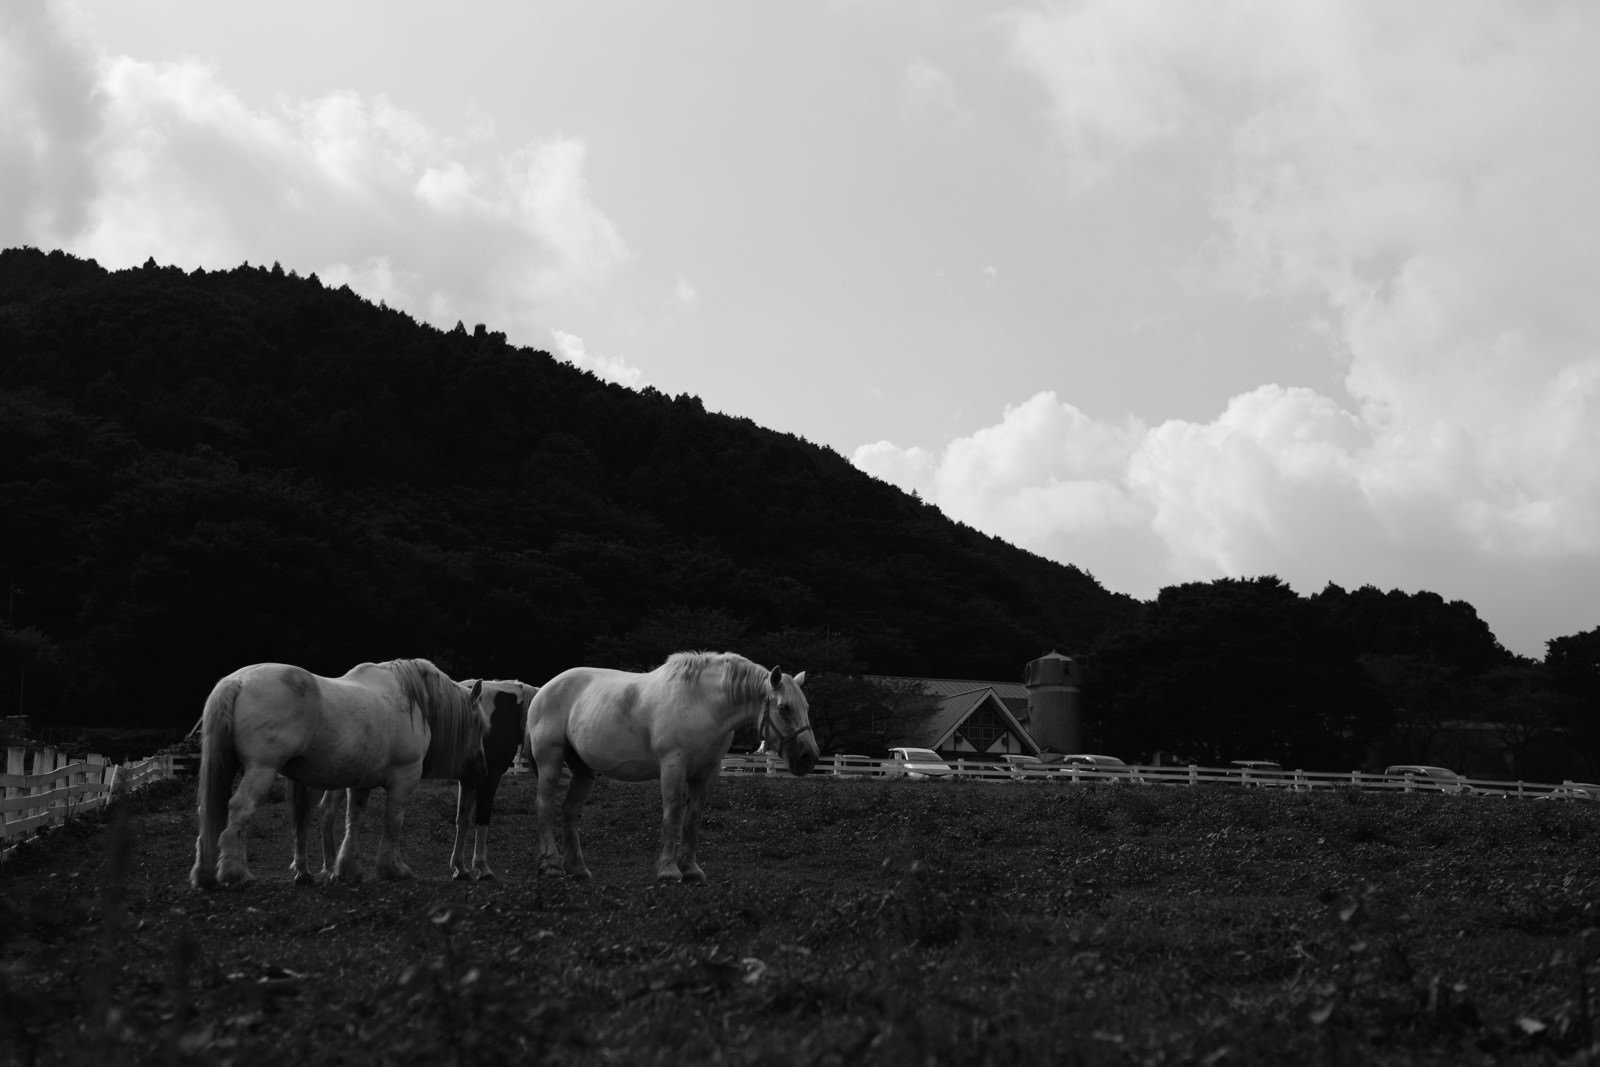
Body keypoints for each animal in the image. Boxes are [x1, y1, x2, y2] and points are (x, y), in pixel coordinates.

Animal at [189, 659, 489, 889]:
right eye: (480, 726)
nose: (481, 767)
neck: (411, 700)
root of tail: (237, 681)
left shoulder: (361, 784)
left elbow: (353, 820)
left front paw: (348, 868)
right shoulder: (404, 778)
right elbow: (393, 822)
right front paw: (394, 869)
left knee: (208, 810)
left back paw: (205, 874)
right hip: (261, 770)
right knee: (240, 808)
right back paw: (236, 872)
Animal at [527, 651, 818, 883]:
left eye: (806, 706)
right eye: (784, 707)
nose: (809, 757)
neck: (703, 704)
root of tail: (544, 689)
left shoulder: (707, 772)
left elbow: (693, 818)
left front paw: (691, 870)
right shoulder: (672, 765)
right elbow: (673, 814)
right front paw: (668, 870)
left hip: (584, 770)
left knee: (570, 810)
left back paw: (577, 868)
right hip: (550, 760)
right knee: (544, 805)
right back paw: (551, 865)